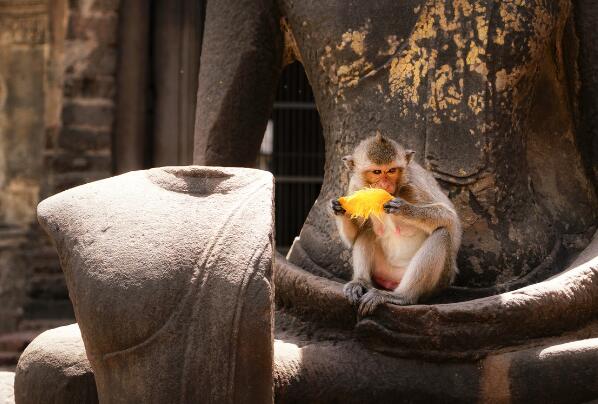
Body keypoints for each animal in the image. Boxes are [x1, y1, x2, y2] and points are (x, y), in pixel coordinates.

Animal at [332, 133, 464, 316]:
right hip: (382, 270)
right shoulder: (355, 187)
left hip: (440, 281)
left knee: (442, 234)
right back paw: (361, 282)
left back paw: (402, 296)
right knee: (367, 231)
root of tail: (392, 281)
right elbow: (355, 235)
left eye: (392, 170)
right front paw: (340, 208)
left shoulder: (415, 185)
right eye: (377, 172)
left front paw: (404, 209)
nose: (385, 185)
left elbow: (451, 220)